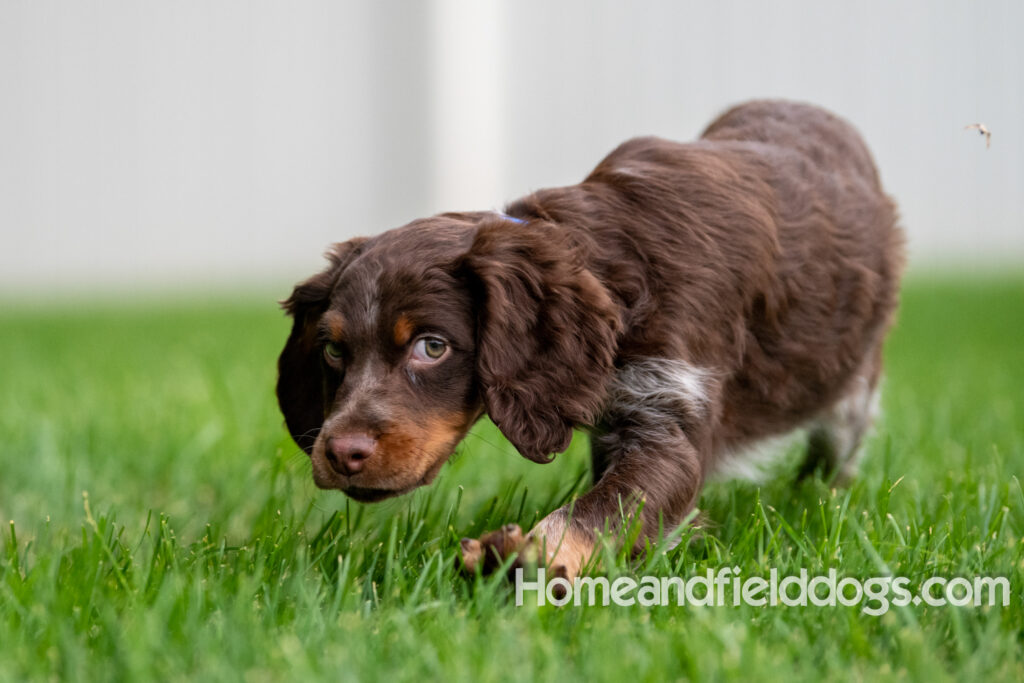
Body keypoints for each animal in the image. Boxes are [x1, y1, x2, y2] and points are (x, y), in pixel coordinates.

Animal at [276, 101, 901, 581]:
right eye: (333, 350)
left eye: (432, 347)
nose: (341, 453)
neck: (614, 268)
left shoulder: (670, 405)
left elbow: (605, 510)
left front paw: (524, 559)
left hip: (852, 387)